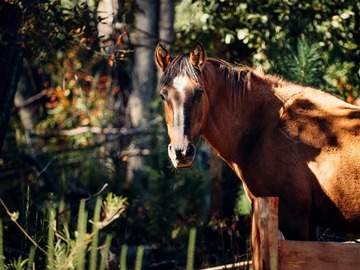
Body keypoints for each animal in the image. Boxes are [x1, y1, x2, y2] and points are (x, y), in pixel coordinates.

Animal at [154, 43, 360, 242]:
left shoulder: (293, 220)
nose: (181, 152)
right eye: (163, 96)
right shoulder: (308, 223)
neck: (265, 127)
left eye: (199, 92)